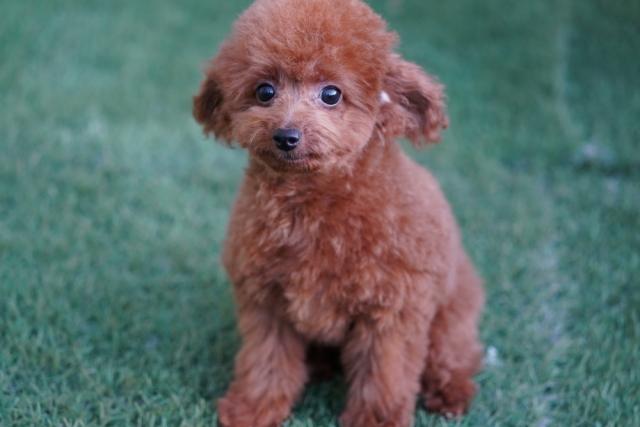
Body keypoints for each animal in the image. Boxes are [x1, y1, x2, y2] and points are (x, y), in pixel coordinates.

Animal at [193, 0, 484, 425]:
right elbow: (266, 362)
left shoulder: (391, 312)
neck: (311, 204)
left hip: (451, 315)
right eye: (265, 91)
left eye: (331, 94)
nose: (286, 136)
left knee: (454, 356)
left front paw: (377, 420)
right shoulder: (266, 303)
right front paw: (253, 408)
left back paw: (450, 391)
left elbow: (385, 375)